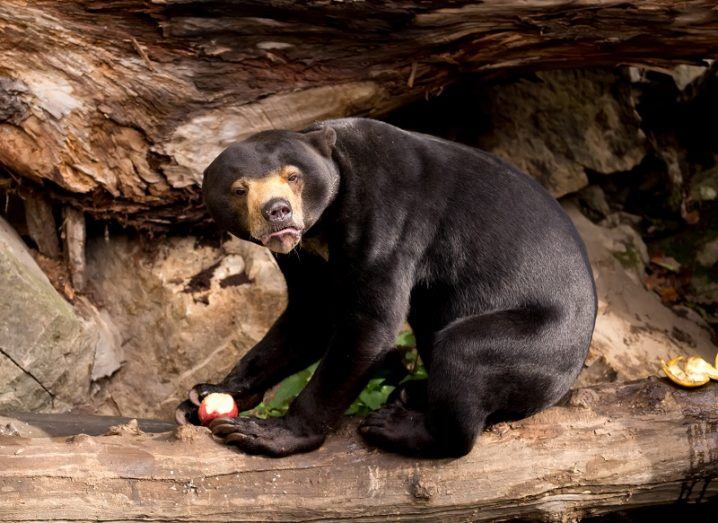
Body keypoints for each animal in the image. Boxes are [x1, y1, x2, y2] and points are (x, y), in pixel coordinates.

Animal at [174, 118, 596, 458]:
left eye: (293, 176)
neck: (324, 227)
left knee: (466, 354)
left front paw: (265, 433)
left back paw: (394, 425)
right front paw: (208, 393)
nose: (278, 211)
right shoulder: (303, 256)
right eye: (239, 189)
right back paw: (413, 392)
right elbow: (310, 316)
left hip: (540, 340)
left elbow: (369, 323)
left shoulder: (387, 220)